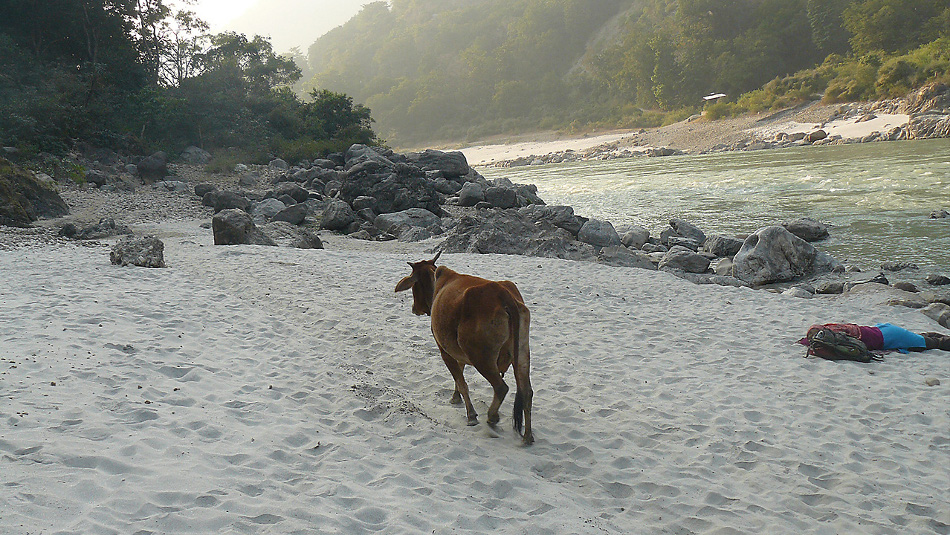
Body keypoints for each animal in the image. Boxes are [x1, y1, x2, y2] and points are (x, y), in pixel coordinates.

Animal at [390, 253, 532, 446]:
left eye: (414, 284)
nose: (414, 308)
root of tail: (503, 295)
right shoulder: (458, 352)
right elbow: (460, 374)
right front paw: (455, 397)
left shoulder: (444, 350)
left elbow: (461, 380)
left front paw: (471, 414)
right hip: (523, 354)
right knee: (527, 392)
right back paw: (528, 436)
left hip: (481, 357)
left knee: (501, 387)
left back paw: (492, 417)